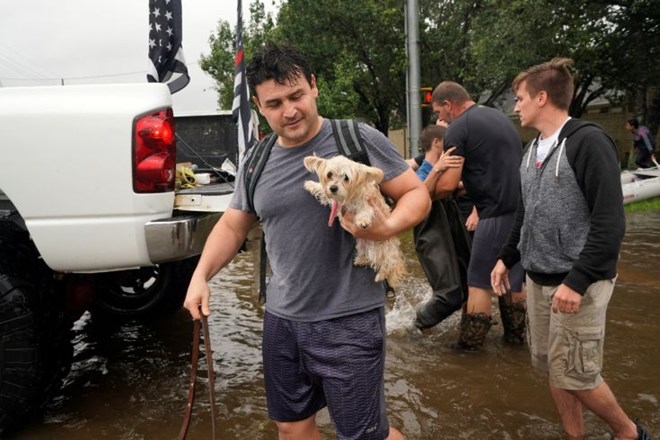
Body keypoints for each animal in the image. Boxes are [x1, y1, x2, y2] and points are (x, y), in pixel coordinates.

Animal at [302, 156, 404, 288]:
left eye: (346, 177)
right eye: (329, 174)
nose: (333, 188)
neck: (348, 197)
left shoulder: (367, 204)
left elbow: (364, 211)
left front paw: (363, 221)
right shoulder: (335, 203)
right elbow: (322, 191)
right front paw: (310, 184)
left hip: (386, 248)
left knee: (389, 263)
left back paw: (381, 275)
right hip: (361, 245)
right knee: (369, 258)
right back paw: (361, 260)